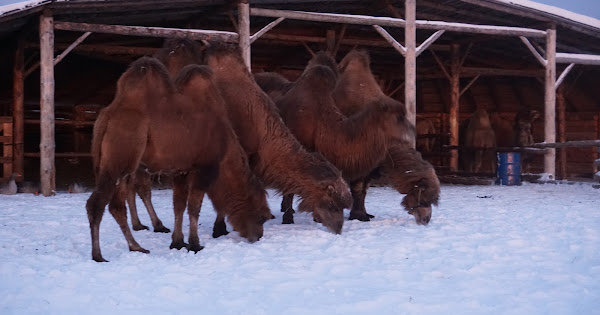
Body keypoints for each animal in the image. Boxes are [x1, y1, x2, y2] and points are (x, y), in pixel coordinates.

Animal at [86, 56, 268, 262]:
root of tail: (107, 116)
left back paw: (136, 247)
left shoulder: (181, 170)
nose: (257, 236)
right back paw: (98, 255)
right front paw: (195, 244)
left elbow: (179, 205)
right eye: (261, 216)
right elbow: (194, 207)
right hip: (119, 159)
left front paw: (178, 242)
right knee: (97, 203)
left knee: (116, 205)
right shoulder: (203, 168)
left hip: (120, 165)